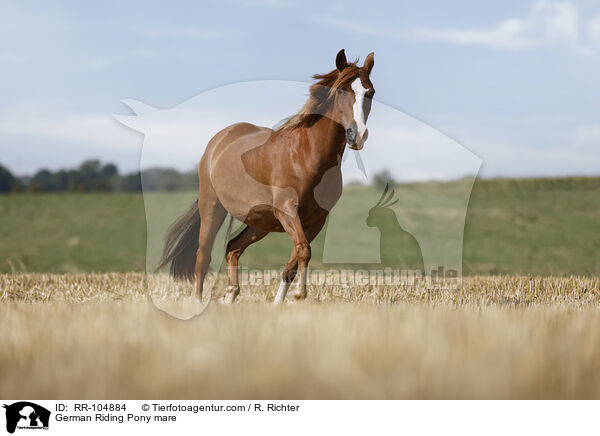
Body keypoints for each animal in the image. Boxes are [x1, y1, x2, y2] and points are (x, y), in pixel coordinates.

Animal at [159, 50, 376, 304]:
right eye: (341, 91)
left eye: (370, 92)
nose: (357, 135)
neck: (307, 154)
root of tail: (220, 139)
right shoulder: (287, 210)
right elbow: (303, 250)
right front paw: (300, 294)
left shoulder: (316, 220)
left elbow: (293, 262)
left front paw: (280, 303)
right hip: (212, 207)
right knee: (202, 257)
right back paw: (199, 303)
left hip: (260, 223)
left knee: (233, 247)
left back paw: (230, 295)